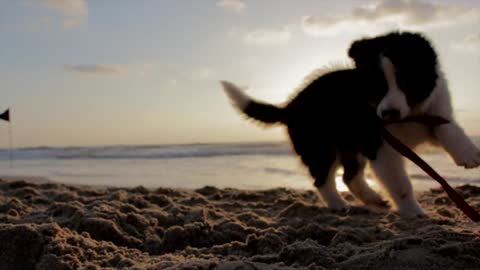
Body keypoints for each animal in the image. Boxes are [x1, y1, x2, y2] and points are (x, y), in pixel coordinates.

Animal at [222, 31, 480, 217]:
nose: (388, 113)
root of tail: (290, 107)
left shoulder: (434, 111)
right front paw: (413, 213)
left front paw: (468, 154)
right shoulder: (380, 145)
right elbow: (400, 183)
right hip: (321, 147)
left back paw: (373, 198)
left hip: (352, 146)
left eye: (406, 81)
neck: (409, 114)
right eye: (375, 86)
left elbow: (448, 126)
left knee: (349, 176)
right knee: (323, 178)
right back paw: (337, 204)